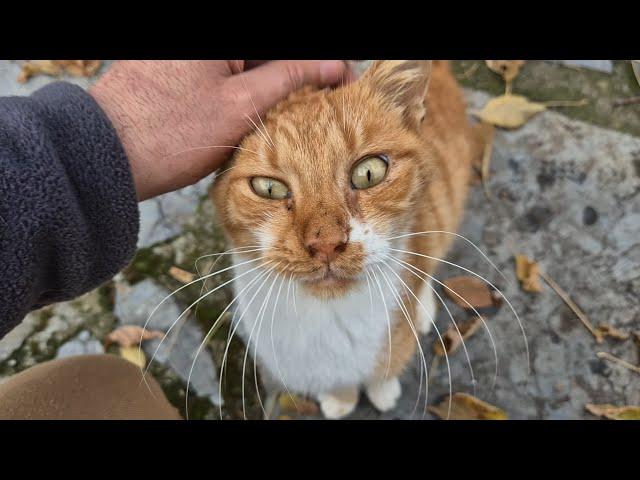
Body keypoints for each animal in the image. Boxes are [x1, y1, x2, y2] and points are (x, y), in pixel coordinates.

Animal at [212, 60, 478, 418]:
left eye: (369, 173)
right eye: (268, 188)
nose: (326, 244)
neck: (330, 319)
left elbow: (388, 364)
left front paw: (382, 389)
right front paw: (340, 398)